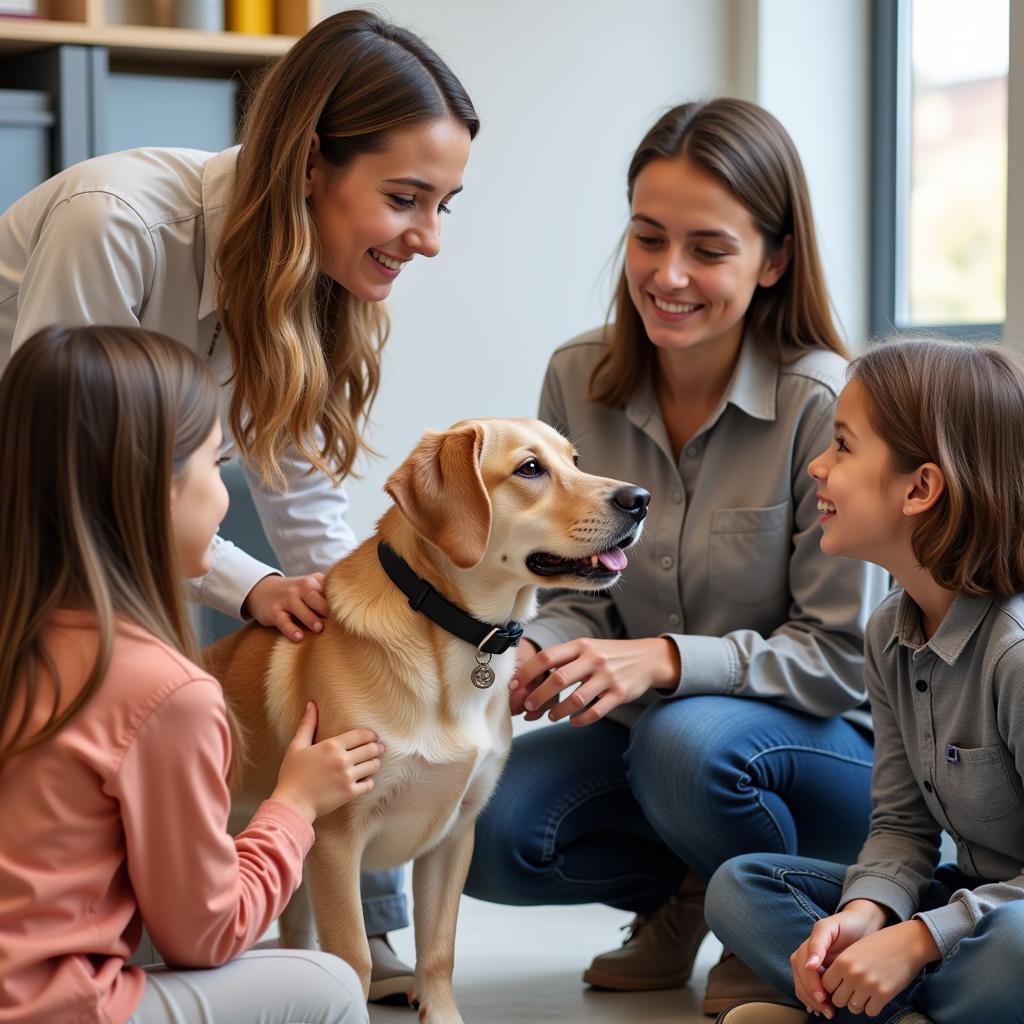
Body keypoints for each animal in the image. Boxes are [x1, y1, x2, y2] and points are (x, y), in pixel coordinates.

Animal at [203, 417, 647, 1024]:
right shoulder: (336, 840)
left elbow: (437, 954)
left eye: (575, 461)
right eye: (531, 468)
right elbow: (354, 959)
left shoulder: (454, 837)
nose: (639, 499)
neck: (449, 630)